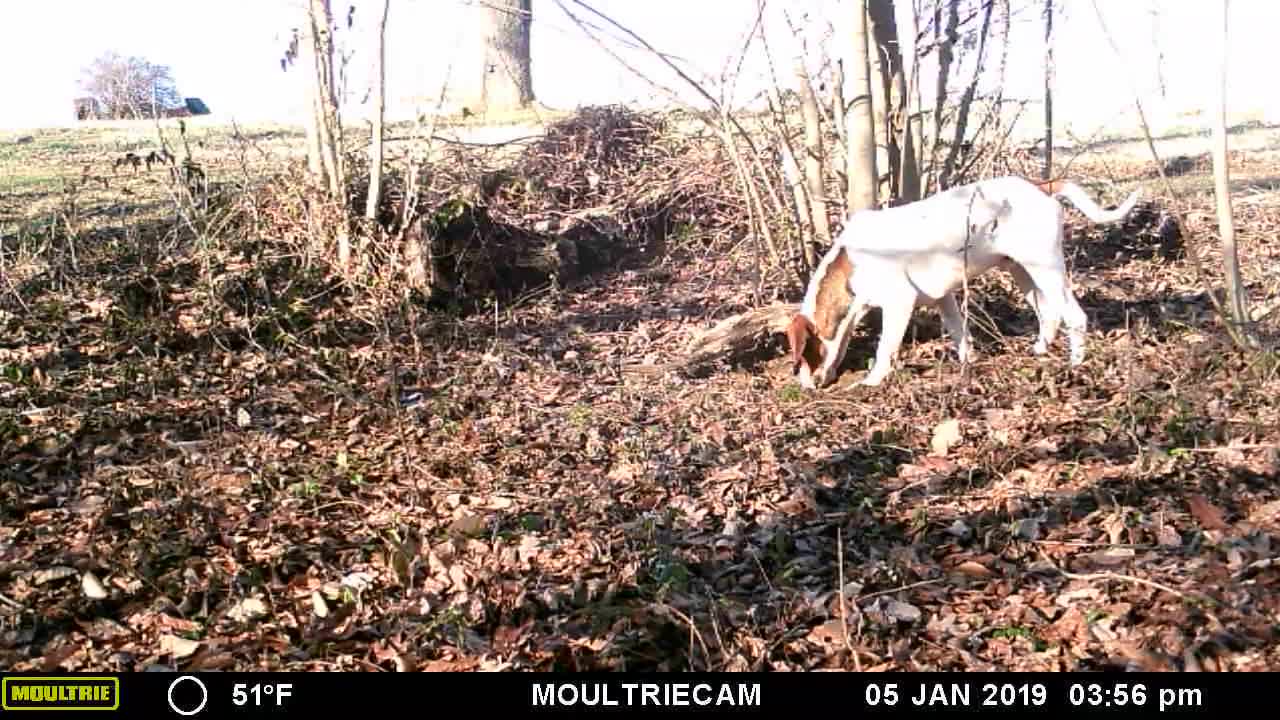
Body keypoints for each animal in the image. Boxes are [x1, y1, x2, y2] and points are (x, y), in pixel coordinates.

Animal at [783, 174, 1146, 386]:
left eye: (804, 353)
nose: (805, 387)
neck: (850, 262)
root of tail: (1039, 186)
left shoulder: (900, 304)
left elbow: (886, 347)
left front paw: (873, 380)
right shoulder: (942, 299)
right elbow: (960, 333)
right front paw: (968, 363)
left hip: (1045, 268)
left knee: (1075, 317)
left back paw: (1076, 363)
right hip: (1023, 272)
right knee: (1050, 315)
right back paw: (1041, 349)